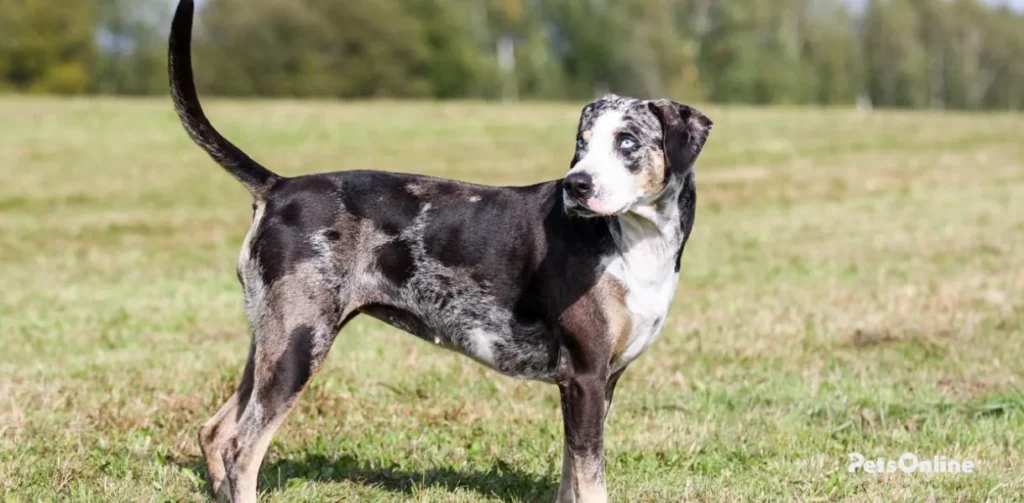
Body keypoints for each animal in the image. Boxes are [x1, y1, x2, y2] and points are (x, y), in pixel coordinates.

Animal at [167, 0, 712, 499]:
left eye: (627, 142)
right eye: (582, 144)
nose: (576, 185)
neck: (631, 242)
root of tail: (279, 186)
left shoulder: (595, 382)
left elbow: (571, 475)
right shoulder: (584, 375)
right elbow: (591, 478)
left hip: (271, 342)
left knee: (214, 432)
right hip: (299, 345)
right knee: (241, 447)